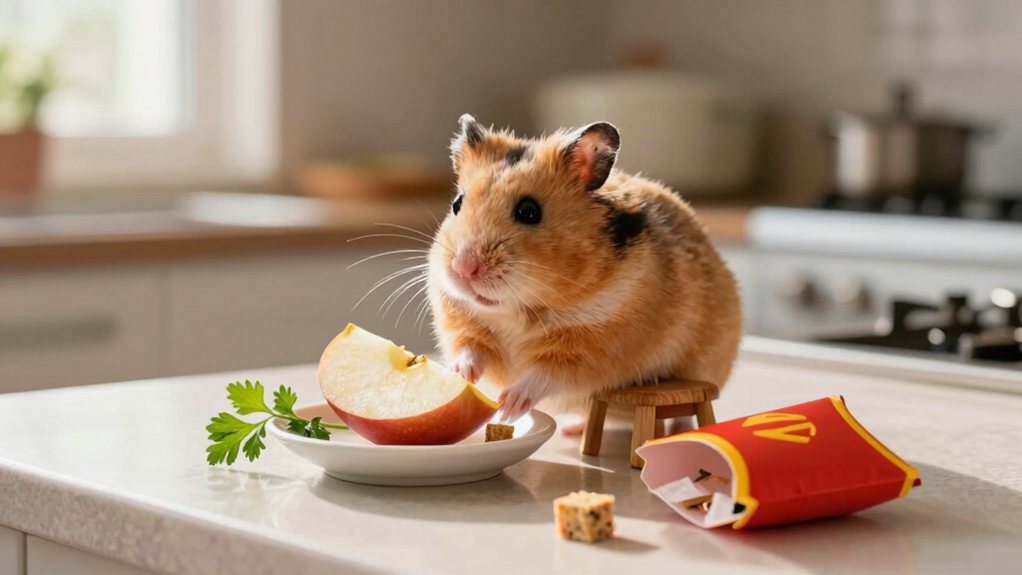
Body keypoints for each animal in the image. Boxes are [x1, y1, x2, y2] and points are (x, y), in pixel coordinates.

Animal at [428, 114, 742, 424]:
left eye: (529, 212)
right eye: (457, 204)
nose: (464, 268)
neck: (520, 309)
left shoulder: (591, 350)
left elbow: (544, 376)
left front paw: (508, 406)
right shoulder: (461, 319)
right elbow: (470, 349)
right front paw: (458, 375)